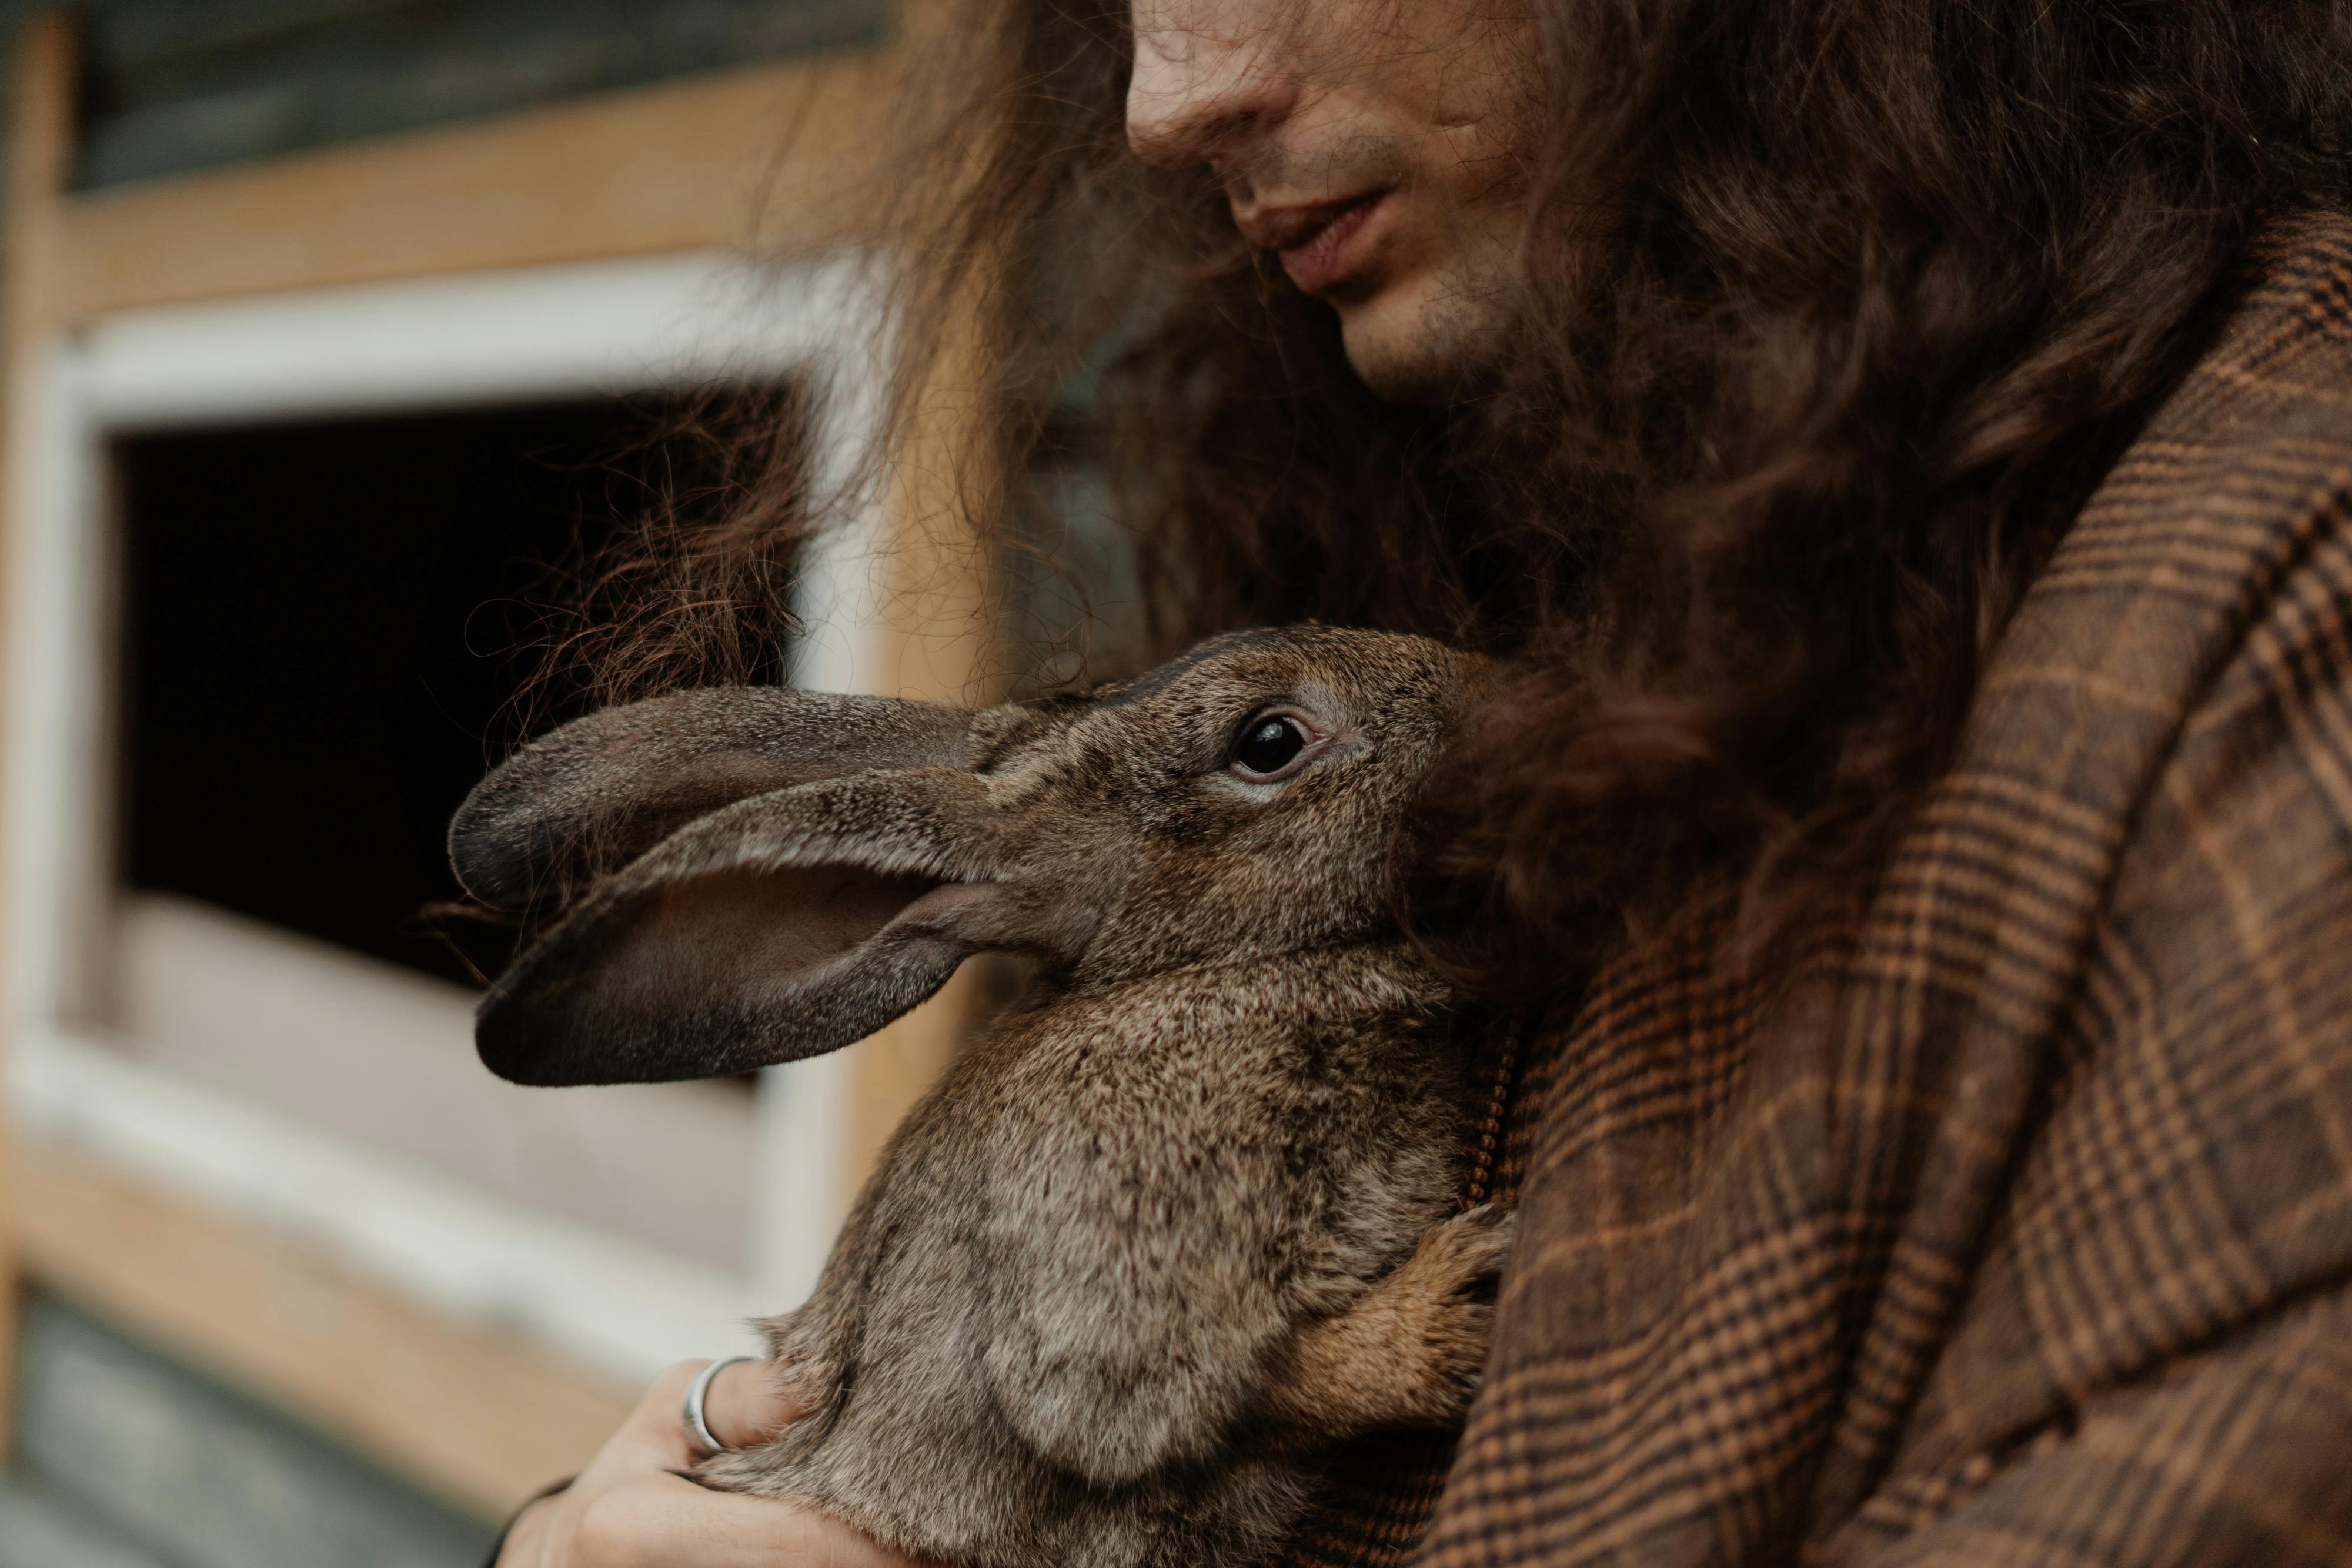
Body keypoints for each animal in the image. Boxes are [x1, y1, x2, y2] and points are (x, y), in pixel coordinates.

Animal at [452, 630, 1515, 1568]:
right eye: (1269, 741)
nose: (1495, 685)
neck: (1211, 968)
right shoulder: (1113, 1261)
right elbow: (1220, 1388)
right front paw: (1452, 1306)